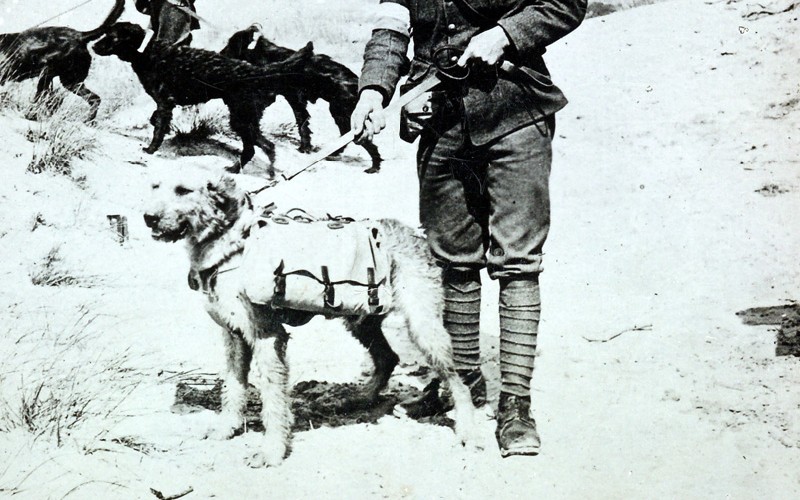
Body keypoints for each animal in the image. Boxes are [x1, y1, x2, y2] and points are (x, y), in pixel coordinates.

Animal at [95, 23, 314, 176]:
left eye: (112, 36)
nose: (93, 45)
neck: (148, 52)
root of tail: (256, 71)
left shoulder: (164, 101)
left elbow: (157, 128)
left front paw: (151, 149)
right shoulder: (166, 103)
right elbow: (156, 119)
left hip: (241, 119)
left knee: (262, 147)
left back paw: (256, 171)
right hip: (246, 119)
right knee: (259, 147)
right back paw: (245, 170)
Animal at [142, 174, 476, 466]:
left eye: (184, 190)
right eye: (155, 186)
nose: (149, 217)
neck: (234, 241)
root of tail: (415, 235)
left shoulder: (268, 336)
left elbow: (273, 398)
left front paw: (272, 451)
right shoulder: (234, 335)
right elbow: (233, 386)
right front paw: (227, 427)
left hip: (423, 325)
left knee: (455, 377)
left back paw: (467, 428)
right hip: (361, 320)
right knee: (387, 357)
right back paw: (360, 398)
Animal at [217, 24, 382, 174]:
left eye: (228, 48)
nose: (218, 55)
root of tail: (356, 84)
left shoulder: (293, 99)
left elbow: (301, 124)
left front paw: (304, 147)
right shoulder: (296, 100)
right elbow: (303, 123)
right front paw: (306, 147)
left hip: (342, 114)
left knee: (363, 141)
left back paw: (374, 166)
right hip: (341, 114)